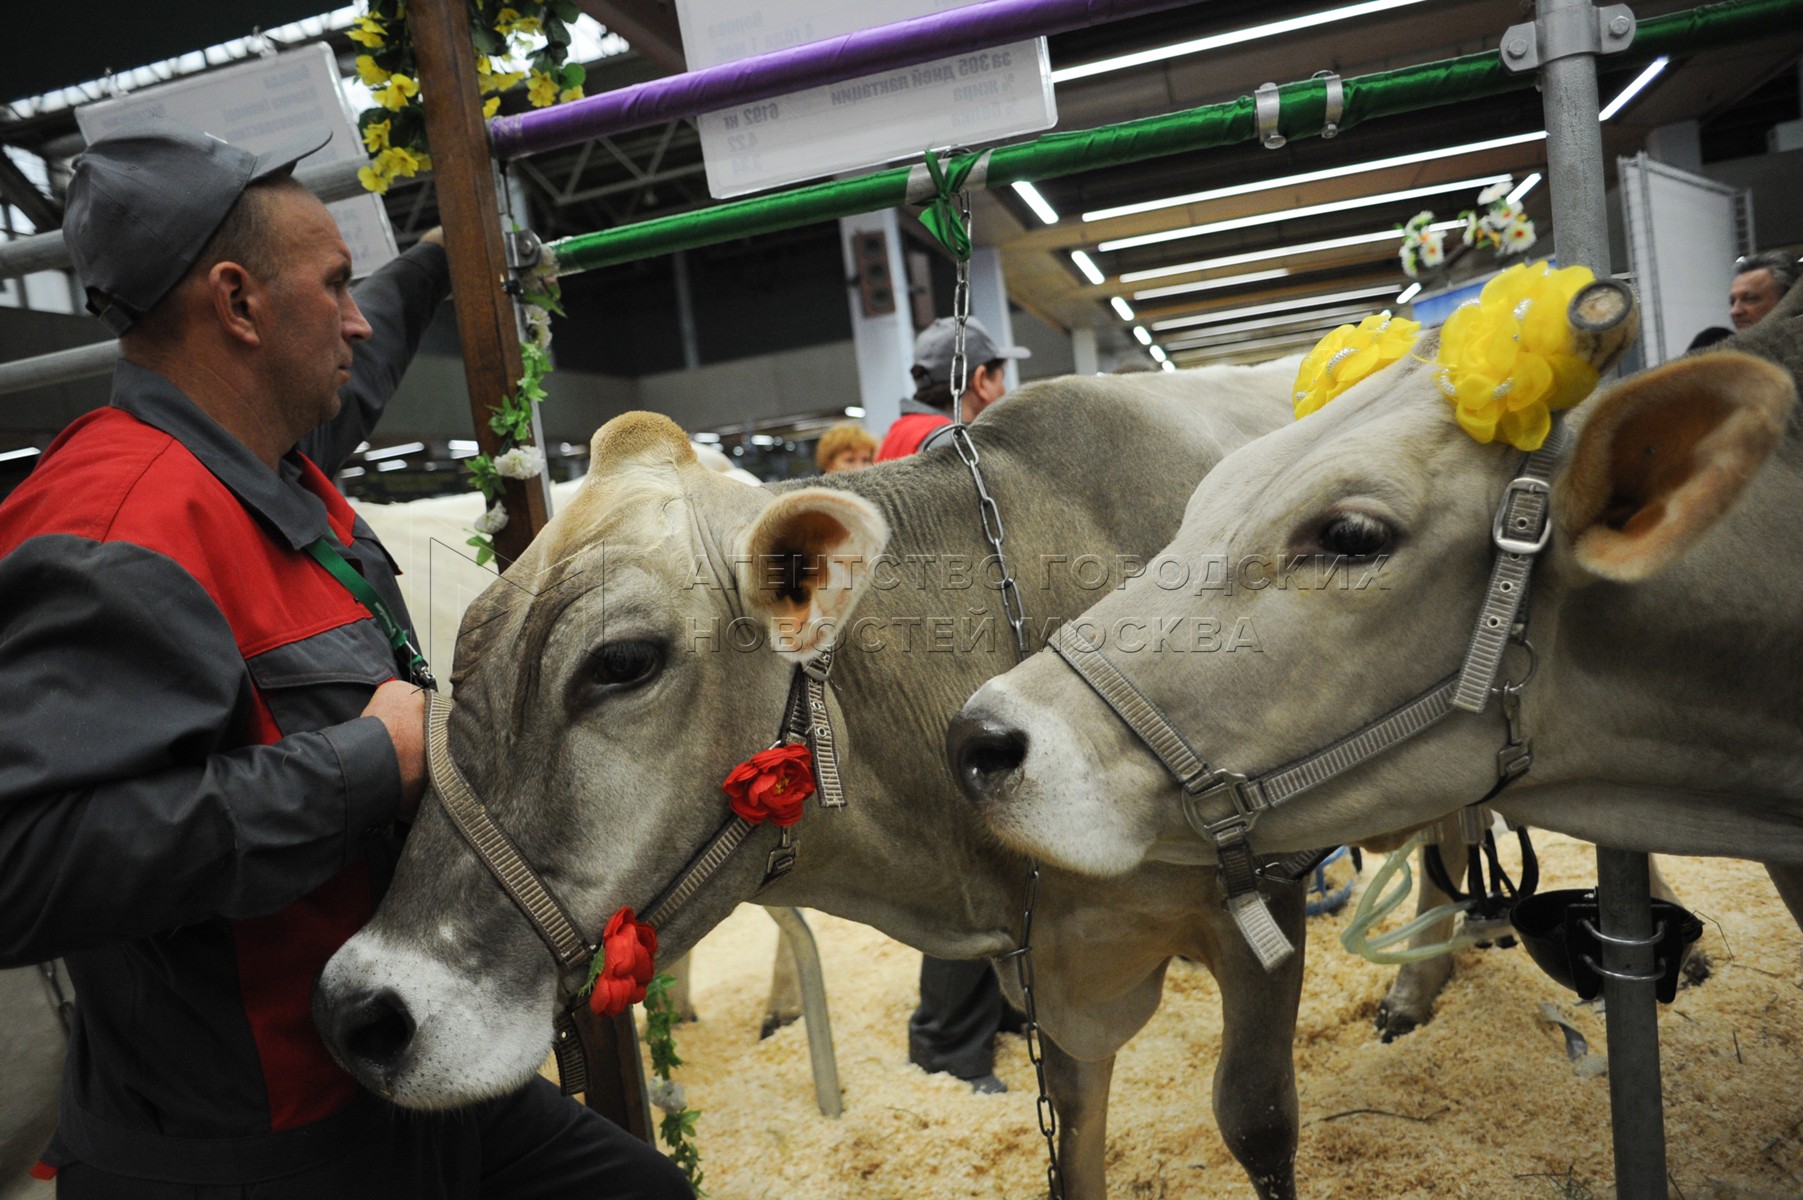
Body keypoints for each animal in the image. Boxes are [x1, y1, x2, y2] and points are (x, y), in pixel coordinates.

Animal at [317, 367, 1327, 1196]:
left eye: (622, 662)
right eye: (457, 653)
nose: (359, 1012)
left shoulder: (1261, 899)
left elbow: (1258, 1122)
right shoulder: (1057, 973)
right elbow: (1075, 1154)